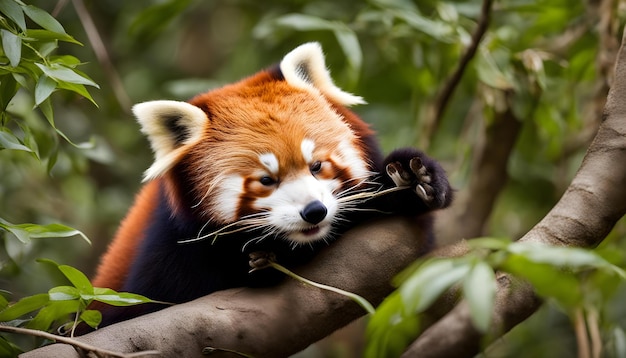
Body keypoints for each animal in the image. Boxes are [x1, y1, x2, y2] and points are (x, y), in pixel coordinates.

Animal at [86, 44, 448, 330]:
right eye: (266, 180)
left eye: (317, 166)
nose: (314, 212)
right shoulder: (166, 257)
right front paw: (263, 263)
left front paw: (411, 178)